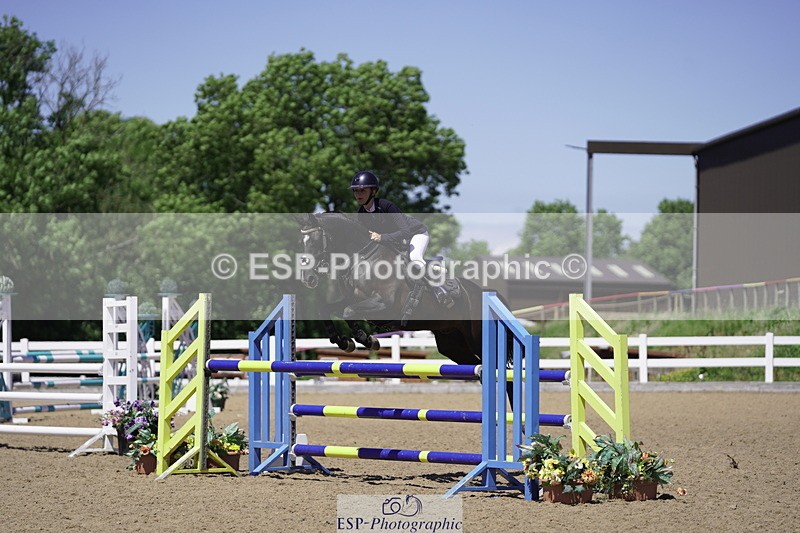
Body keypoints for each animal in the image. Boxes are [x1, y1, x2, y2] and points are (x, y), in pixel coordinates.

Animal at [297, 211, 489, 367]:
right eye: (302, 243)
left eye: (315, 241)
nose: (308, 279)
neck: (362, 259)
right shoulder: (354, 300)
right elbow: (326, 309)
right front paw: (344, 342)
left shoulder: (384, 305)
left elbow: (348, 312)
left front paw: (368, 340)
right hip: (451, 342)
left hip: (475, 338)